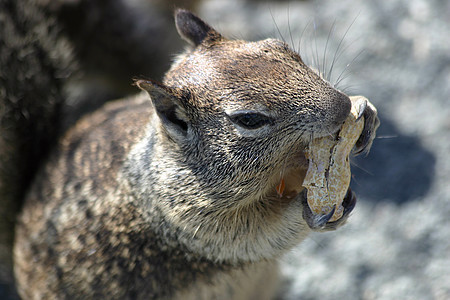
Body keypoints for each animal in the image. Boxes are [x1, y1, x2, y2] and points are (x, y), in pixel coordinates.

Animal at [12, 8, 380, 298]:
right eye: (249, 119)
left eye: (283, 48)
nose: (341, 105)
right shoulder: (187, 222)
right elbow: (256, 234)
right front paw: (308, 210)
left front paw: (365, 117)